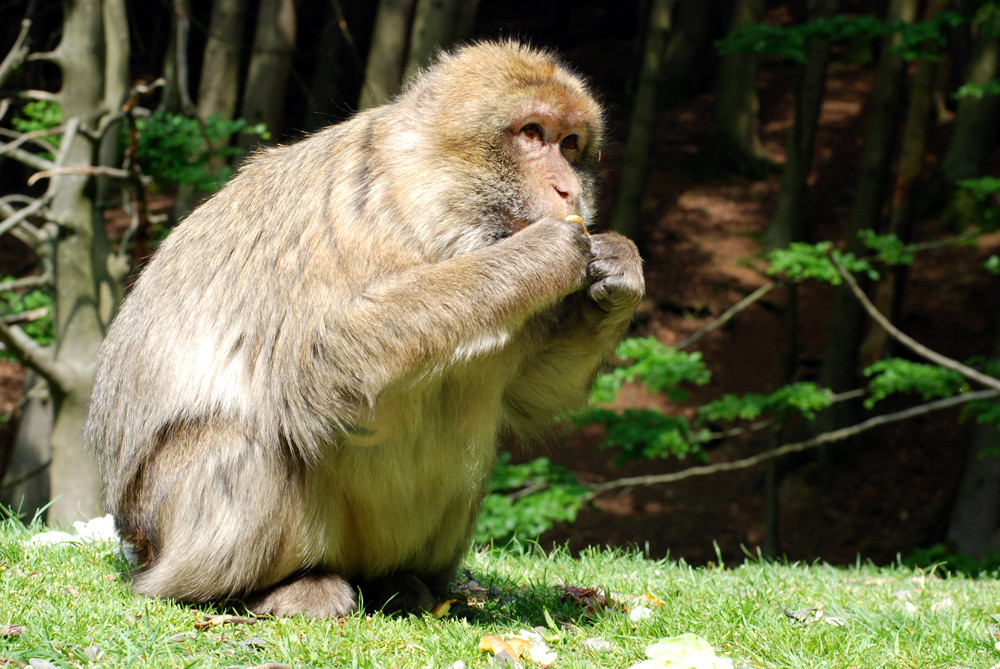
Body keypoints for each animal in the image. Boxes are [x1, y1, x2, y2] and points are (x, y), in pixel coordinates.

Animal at [86, 40, 648, 616]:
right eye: (532, 134)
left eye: (570, 143)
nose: (567, 190)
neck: (428, 215)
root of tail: (140, 546)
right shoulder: (344, 223)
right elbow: (314, 359)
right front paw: (538, 255)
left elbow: (533, 393)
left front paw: (620, 267)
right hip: (172, 527)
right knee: (242, 441)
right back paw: (261, 590)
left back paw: (401, 583)